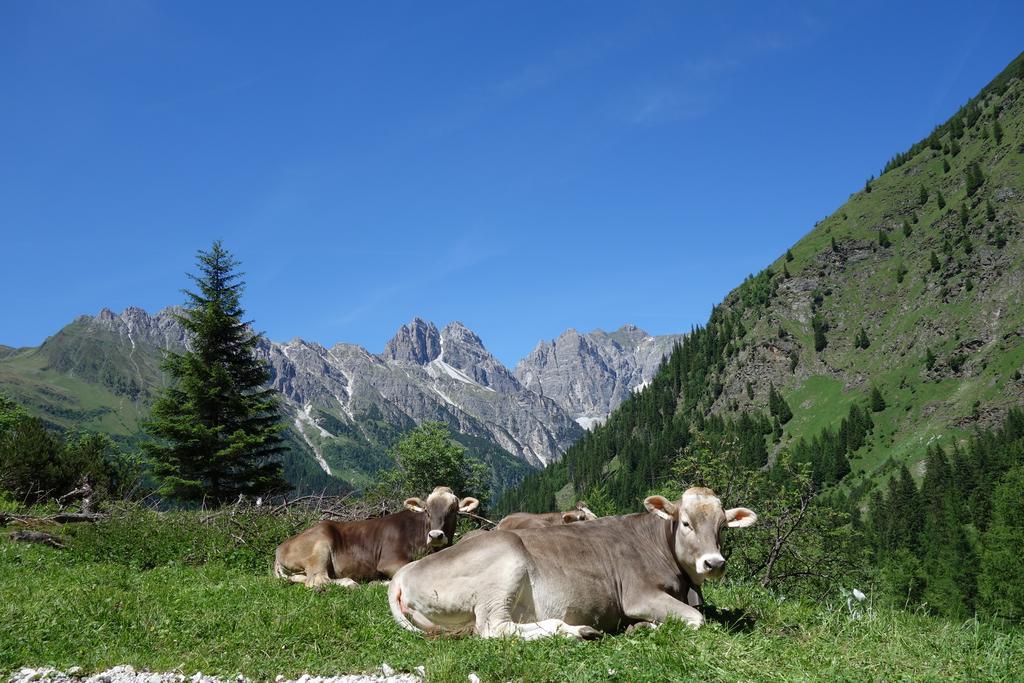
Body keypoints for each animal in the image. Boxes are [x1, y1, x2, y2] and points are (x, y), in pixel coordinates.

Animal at [274, 485, 477, 589]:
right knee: (317, 579)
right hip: (321, 546)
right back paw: (352, 583)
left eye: (453, 510)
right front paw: (378, 582)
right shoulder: (389, 561)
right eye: (427, 510)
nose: (435, 535)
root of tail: (281, 547)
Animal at [387, 485, 757, 634]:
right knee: (494, 628)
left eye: (723, 526)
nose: (714, 563)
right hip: (505, 566)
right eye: (685, 523)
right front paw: (642, 626)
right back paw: (577, 630)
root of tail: (403, 574)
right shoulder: (638, 595)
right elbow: (696, 619)